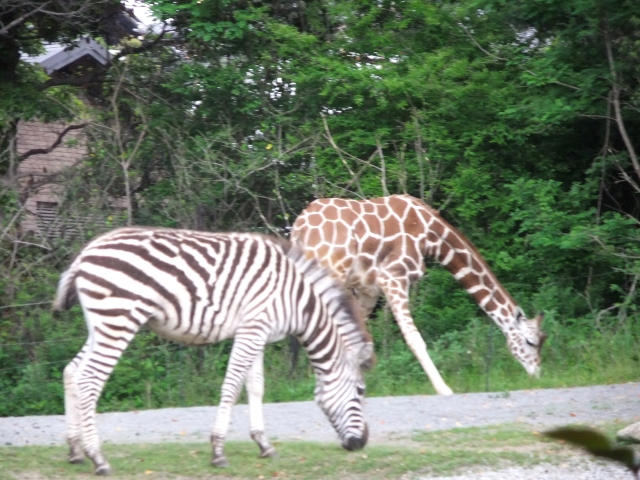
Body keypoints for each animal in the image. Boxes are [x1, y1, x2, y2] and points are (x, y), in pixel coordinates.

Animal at [55, 227, 376, 474]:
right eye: (360, 391)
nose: (361, 444)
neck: (297, 298)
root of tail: (87, 251)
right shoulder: (252, 331)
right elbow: (232, 387)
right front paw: (218, 451)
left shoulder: (257, 333)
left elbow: (256, 387)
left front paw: (264, 444)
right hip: (118, 321)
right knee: (89, 381)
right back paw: (98, 459)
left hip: (100, 325)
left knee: (71, 371)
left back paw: (75, 451)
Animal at [290, 193, 544, 396]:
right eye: (530, 342)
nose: (537, 372)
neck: (431, 235)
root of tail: (298, 229)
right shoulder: (392, 277)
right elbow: (414, 338)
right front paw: (444, 389)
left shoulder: (367, 289)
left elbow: (359, 338)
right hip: (330, 275)